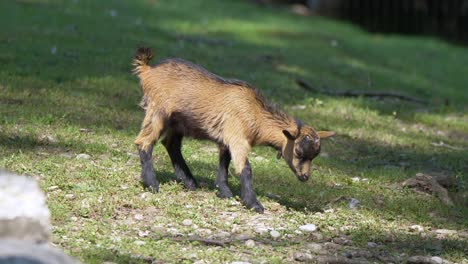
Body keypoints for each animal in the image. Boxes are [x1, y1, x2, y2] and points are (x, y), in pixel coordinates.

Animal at [133, 47, 334, 212]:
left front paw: (225, 192)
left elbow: (224, 164)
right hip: (158, 111)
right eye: (298, 152)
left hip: (177, 122)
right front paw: (254, 204)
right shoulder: (238, 138)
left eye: (314, 155)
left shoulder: (226, 139)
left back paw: (189, 182)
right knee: (144, 142)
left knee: (171, 144)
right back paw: (152, 184)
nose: (305, 176)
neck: (255, 113)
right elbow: (246, 169)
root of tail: (148, 70)